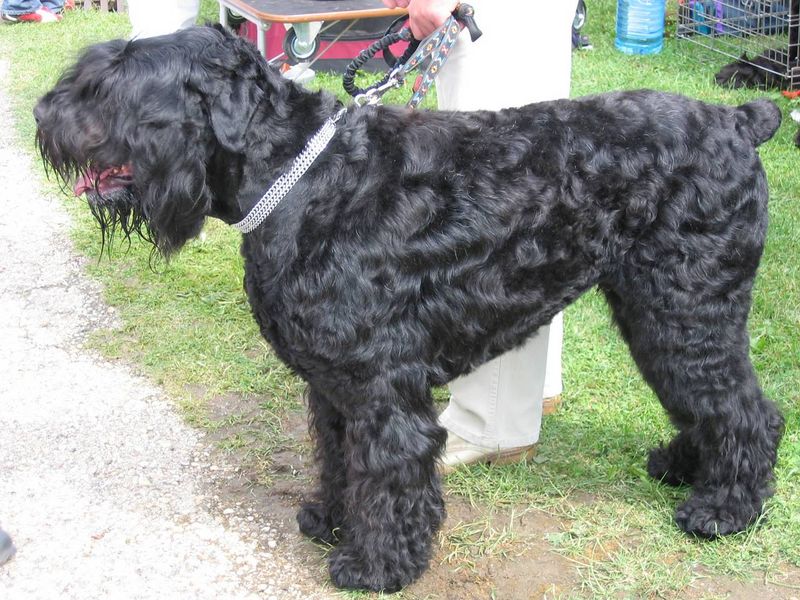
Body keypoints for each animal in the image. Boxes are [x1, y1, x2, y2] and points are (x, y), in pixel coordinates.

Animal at [34, 27, 784, 592]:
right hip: (654, 312)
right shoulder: (334, 387)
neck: (305, 181)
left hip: (686, 310)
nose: (42, 116)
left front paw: (375, 566)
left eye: (113, 84)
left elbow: (389, 472)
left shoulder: (381, 388)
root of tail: (737, 120)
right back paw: (683, 468)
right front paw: (331, 520)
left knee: (749, 409)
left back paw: (723, 511)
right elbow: (341, 460)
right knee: (706, 402)